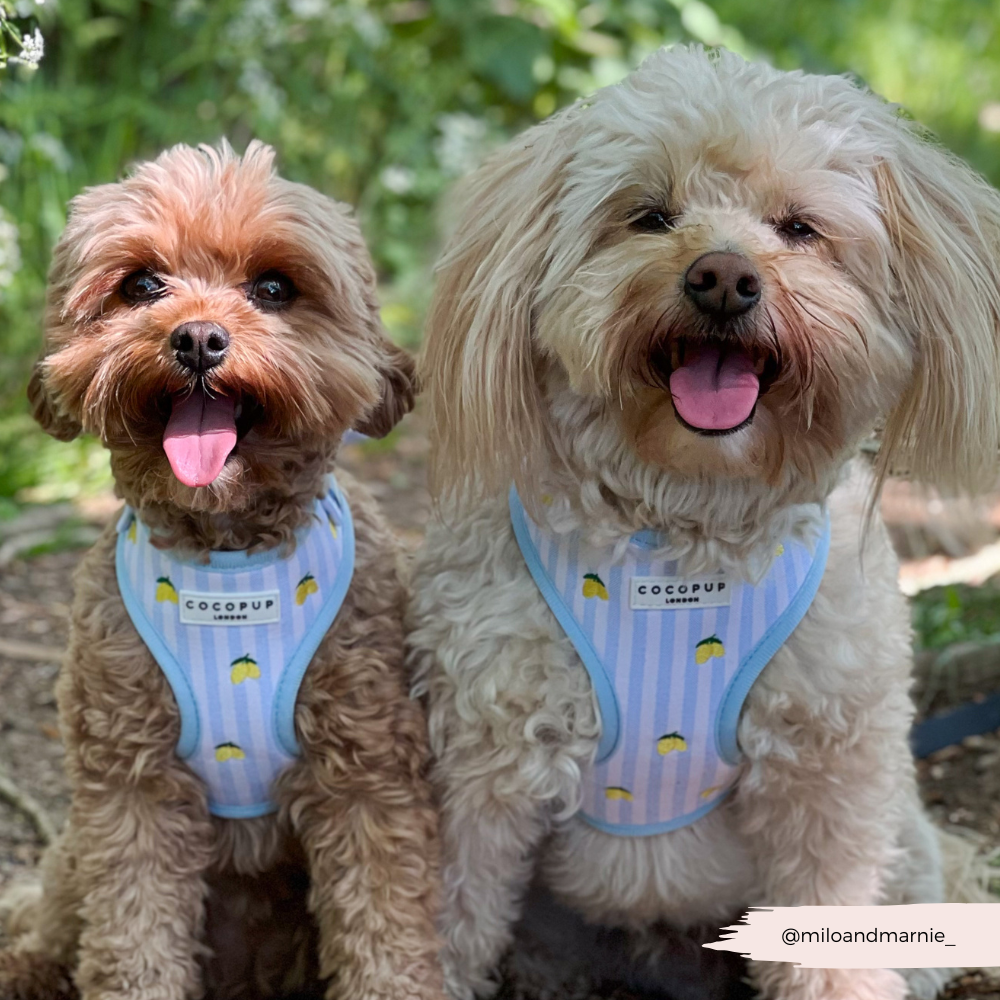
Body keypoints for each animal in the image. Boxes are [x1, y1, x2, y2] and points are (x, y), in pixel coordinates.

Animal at [0, 141, 445, 1000]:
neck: (229, 560)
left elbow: (384, 928)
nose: (199, 339)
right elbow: (131, 939)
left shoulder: (365, 775)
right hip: (74, 850)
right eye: (142, 284)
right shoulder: (132, 785)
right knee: (56, 917)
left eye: (273, 288)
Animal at [407, 46, 1000, 1000]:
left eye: (799, 228)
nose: (722, 276)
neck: (681, 533)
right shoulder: (483, 765)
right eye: (649, 216)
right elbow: (444, 921)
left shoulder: (828, 778)